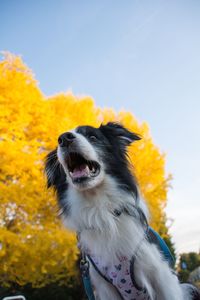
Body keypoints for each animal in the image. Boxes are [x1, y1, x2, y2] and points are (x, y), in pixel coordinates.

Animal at [45, 122, 200, 300]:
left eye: (93, 137)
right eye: (59, 141)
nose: (64, 138)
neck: (100, 208)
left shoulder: (160, 276)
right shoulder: (104, 287)